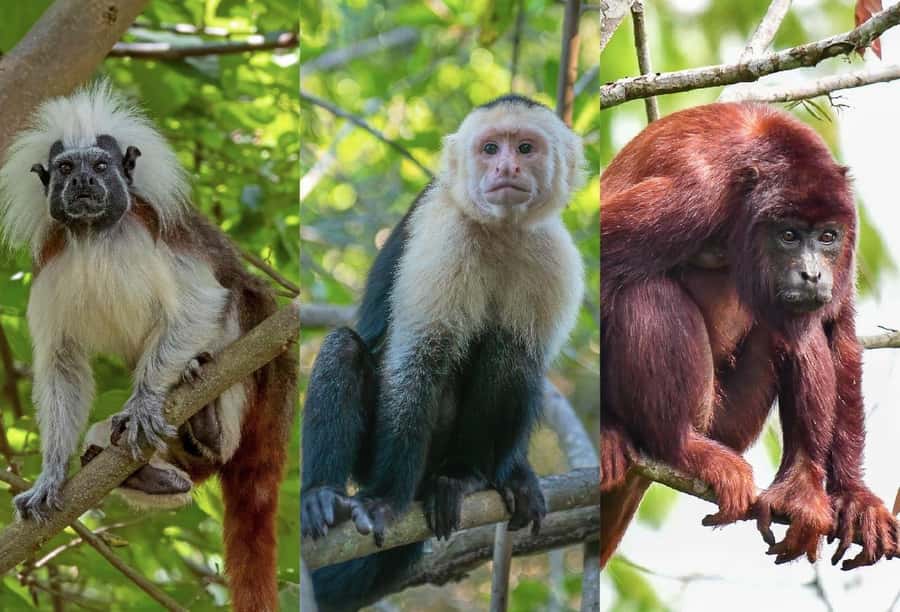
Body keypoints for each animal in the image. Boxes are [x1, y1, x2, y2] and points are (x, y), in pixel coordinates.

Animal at [0, 83, 297, 612]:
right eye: (65, 169)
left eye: (101, 166)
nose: (83, 183)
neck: (94, 236)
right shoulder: (50, 266)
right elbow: (61, 363)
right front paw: (50, 475)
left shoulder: (152, 234)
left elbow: (202, 303)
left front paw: (141, 403)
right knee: (121, 448)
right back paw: (161, 475)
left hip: (265, 358)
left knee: (240, 306)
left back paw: (211, 426)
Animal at [300, 94, 586, 610]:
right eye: (490, 148)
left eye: (526, 147)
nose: (507, 166)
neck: (500, 230)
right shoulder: (443, 235)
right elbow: (419, 359)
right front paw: (385, 501)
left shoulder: (553, 253)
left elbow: (523, 356)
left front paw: (504, 474)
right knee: (344, 348)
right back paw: (324, 494)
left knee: (510, 354)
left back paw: (467, 476)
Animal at [599, 102, 898, 570]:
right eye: (788, 235)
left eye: (827, 237)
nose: (812, 274)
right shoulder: (691, 192)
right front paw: (604, 433)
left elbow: (838, 331)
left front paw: (855, 496)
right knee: (645, 290)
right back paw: (681, 447)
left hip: (730, 425)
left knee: (798, 328)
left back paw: (800, 487)